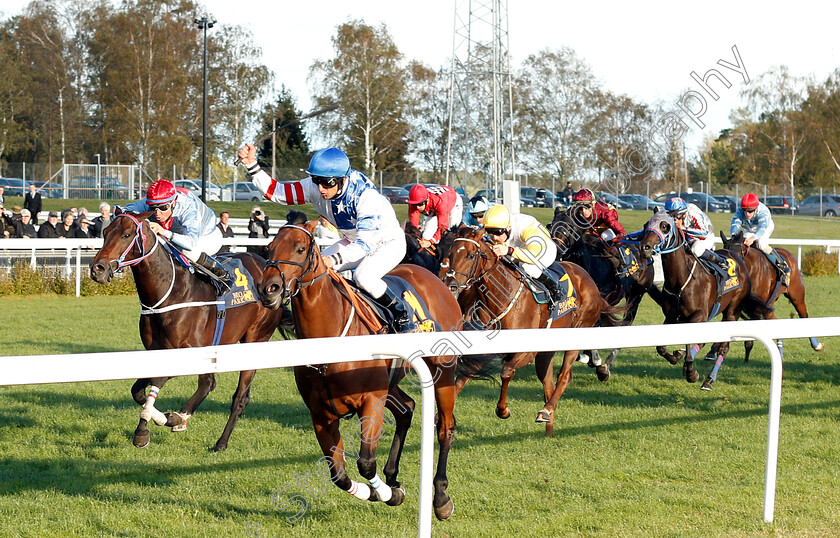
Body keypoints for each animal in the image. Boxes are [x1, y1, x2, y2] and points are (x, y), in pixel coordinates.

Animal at [90, 211, 284, 450]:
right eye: (106, 232)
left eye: (127, 234)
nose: (97, 269)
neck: (170, 292)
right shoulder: (155, 351)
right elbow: (138, 391)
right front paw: (165, 418)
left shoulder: (183, 352)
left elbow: (156, 386)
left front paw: (144, 431)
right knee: (209, 383)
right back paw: (182, 417)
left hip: (256, 338)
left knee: (238, 396)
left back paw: (220, 442)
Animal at [256, 218, 466, 520]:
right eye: (269, 247)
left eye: (299, 248)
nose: (268, 289)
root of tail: (438, 280)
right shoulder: (320, 414)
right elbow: (338, 474)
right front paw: (382, 491)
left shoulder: (372, 400)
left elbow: (366, 462)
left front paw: (388, 494)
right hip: (392, 382)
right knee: (407, 408)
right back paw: (393, 476)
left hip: (443, 372)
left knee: (445, 428)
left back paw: (440, 498)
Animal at [440, 224, 616, 434]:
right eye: (449, 253)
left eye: (470, 255)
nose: (450, 285)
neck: (501, 295)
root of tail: (589, 280)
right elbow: (462, 377)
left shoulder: (526, 351)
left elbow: (506, 371)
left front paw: (503, 410)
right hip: (546, 351)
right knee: (548, 384)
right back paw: (548, 431)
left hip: (578, 333)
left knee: (564, 376)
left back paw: (546, 410)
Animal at [640, 210, 752, 390]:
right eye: (646, 225)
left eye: (665, 226)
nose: (645, 248)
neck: (681, 278)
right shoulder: (672, 315)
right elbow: (661, 347)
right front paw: (676, 357)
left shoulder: (699, 314)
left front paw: (691, 372)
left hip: (732, 310)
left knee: (724, 347)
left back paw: (709, 379)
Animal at [720, 228, 824, 358]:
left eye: (736, 255)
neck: (751, 269)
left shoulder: (755, 306)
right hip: (769, 305)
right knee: (773, 320)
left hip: (797, 296)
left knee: (803, 315)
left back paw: (816, 345)